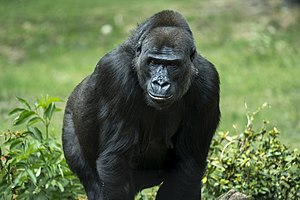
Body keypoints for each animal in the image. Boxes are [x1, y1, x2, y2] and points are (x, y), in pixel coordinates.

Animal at [62, 9, 219, 200]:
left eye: (173, 65)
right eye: (153, 62)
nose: (160, 83)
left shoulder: (209, 84)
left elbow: (188, 164)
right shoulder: (115, 72)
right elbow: (116, 159)